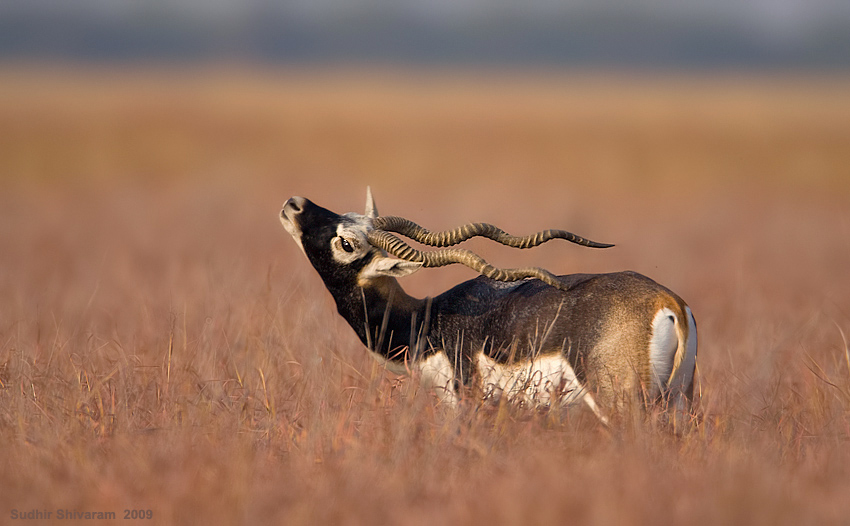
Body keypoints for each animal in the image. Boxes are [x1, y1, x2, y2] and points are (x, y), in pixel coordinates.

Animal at [280, 190, 696, 424]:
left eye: (346, 243)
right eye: (347, 216)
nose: (294, 205)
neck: (426, 321)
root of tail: (667, 302)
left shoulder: (461, 402)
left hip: (621, 407)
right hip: (677, 403)